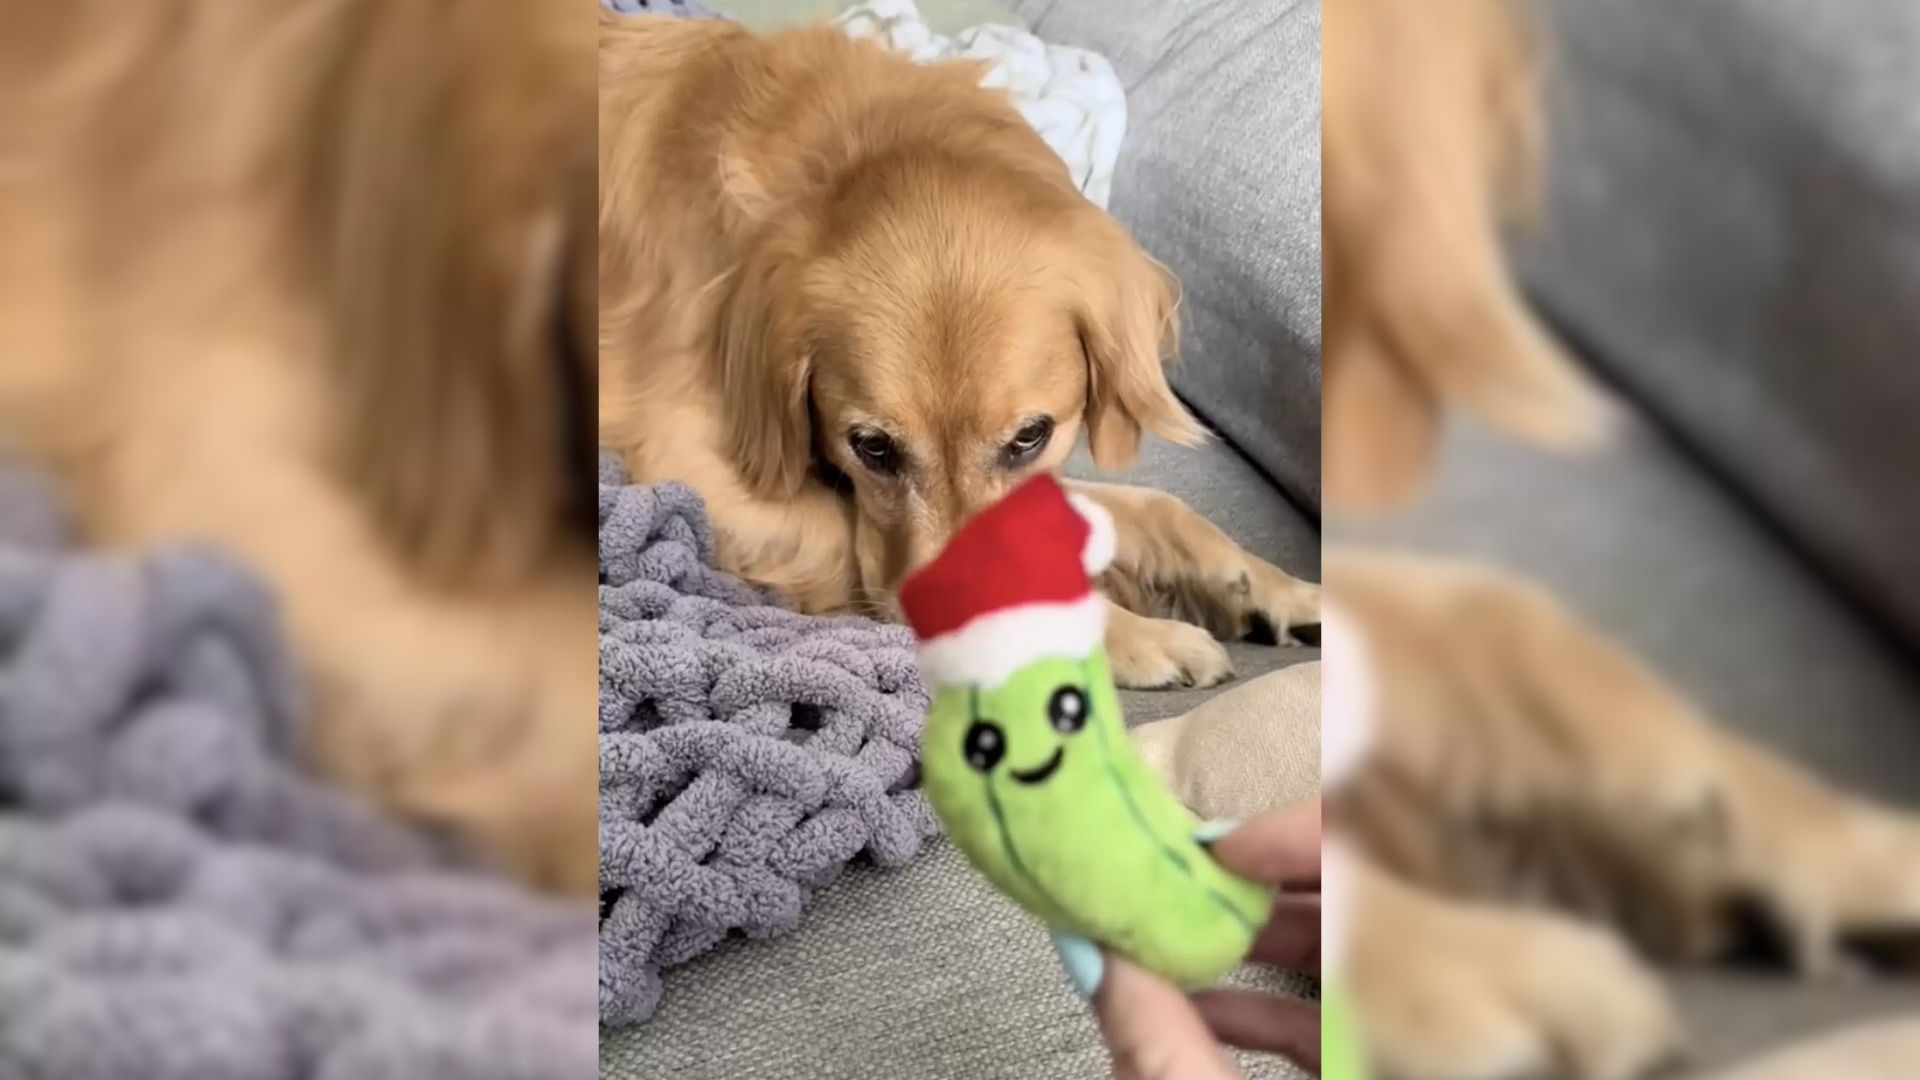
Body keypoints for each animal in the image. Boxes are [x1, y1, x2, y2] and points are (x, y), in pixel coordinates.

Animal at [599, 12, 1320, 684]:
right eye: (872, 447)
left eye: (1030, 436)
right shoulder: (700, 472)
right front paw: (1141, 631)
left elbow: (1153, 506)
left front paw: (1267, 585)